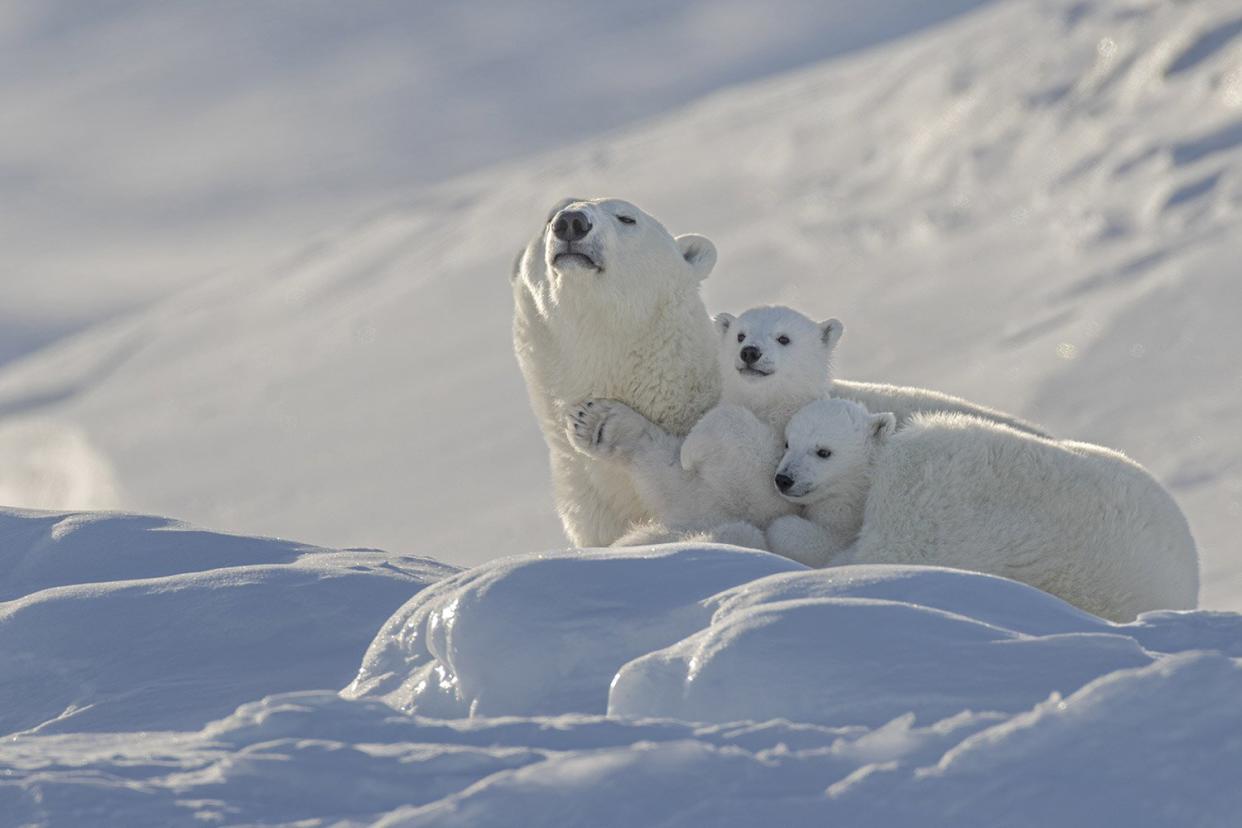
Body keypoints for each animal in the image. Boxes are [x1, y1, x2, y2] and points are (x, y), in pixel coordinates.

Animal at [566, 304, 839, 543]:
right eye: (740, 335)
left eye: (784, 338)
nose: (750, 352)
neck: (771, 409)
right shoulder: (707, 495)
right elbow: (680, 485)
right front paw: (595, 421)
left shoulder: (781, 493)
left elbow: (758, 497)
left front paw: (689, 449)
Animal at [770, 397, 1197, 618]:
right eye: (787, 443)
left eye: (823, 451)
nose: (783, 479)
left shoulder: (918, 501)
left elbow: (868, 559)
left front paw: (787, 533)